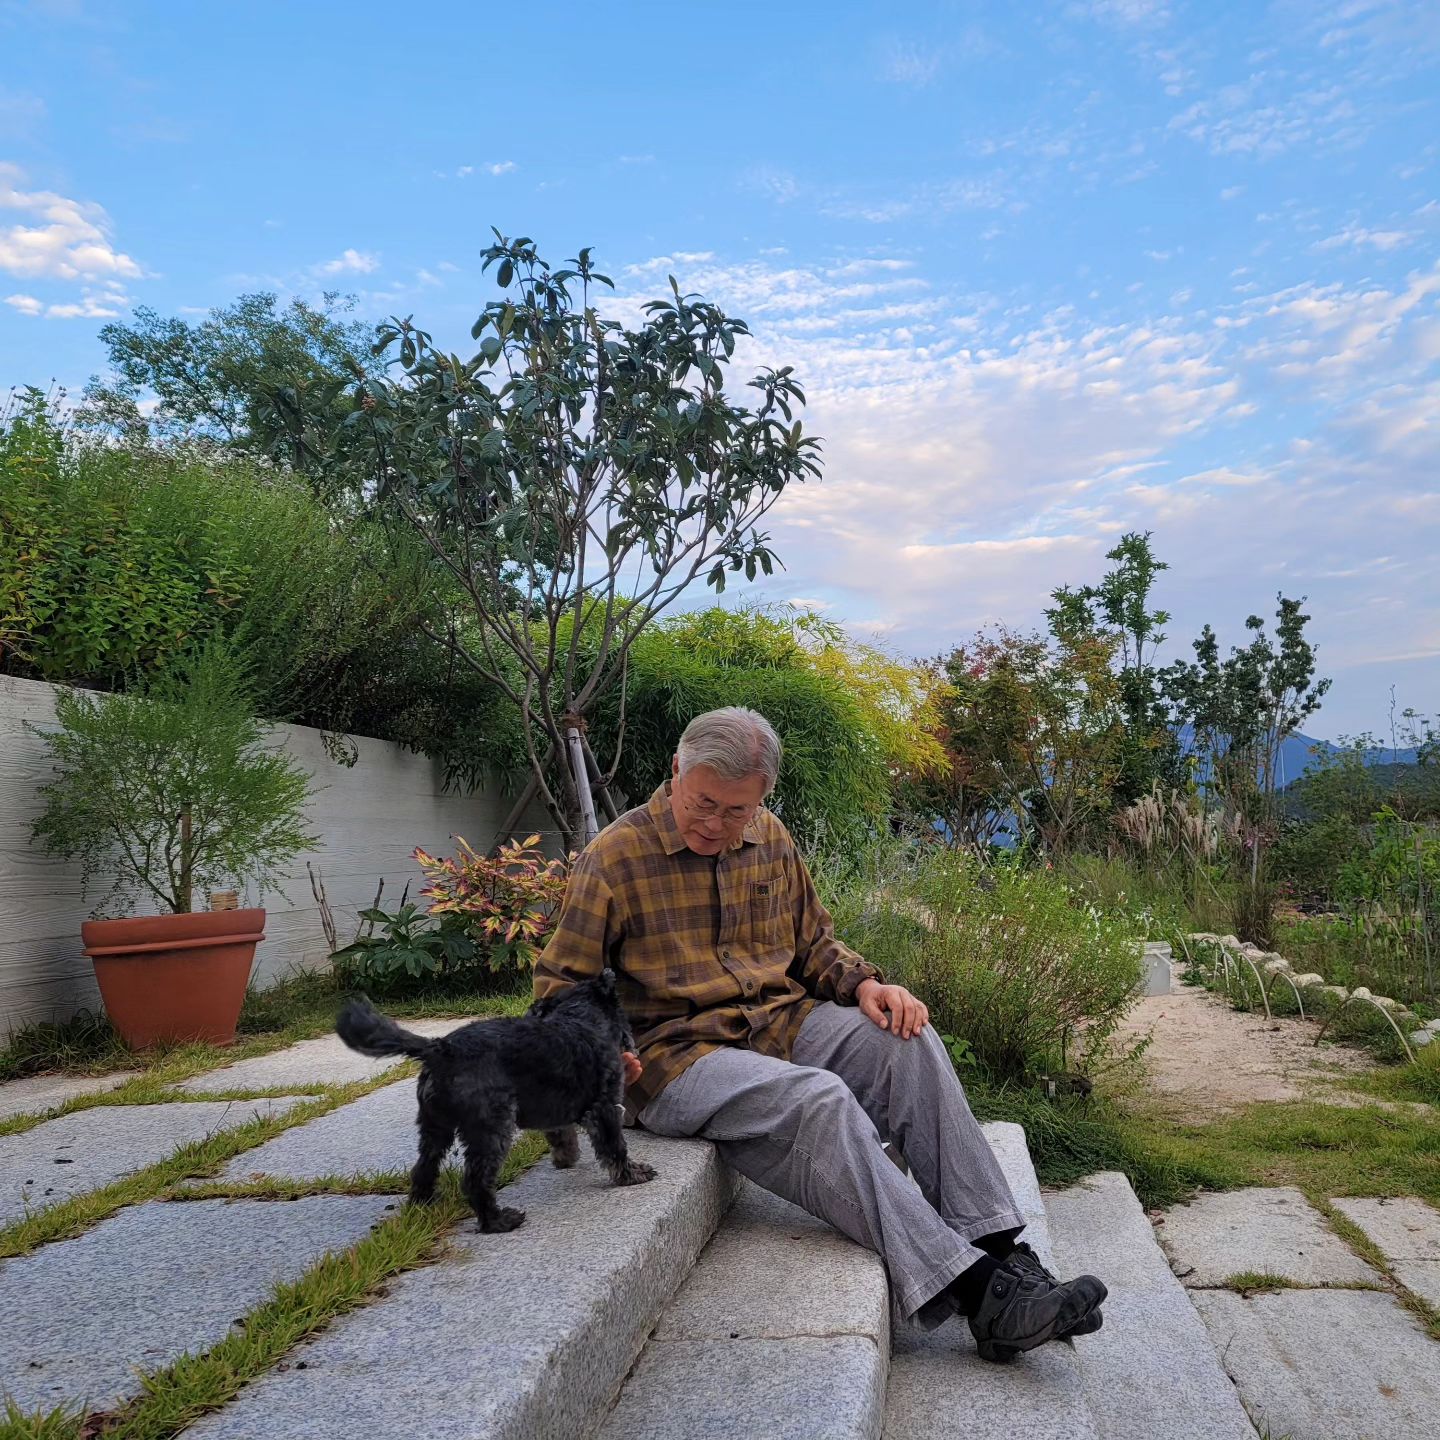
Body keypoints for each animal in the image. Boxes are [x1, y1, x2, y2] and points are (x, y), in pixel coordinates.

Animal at [334, 967, 656, 1226]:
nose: (633, 1048)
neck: (580, 1017)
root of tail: (441, 1049)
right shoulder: (605, 1107)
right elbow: (615, 1146)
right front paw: (632, 1175)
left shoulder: (556, 1104)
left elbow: (561, 1133)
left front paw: (566, 1158)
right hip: (491, 1127)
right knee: (475, 1179)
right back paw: (498, 1221)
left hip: (435, 1126)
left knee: (424, 1167)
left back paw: (423, 1205)